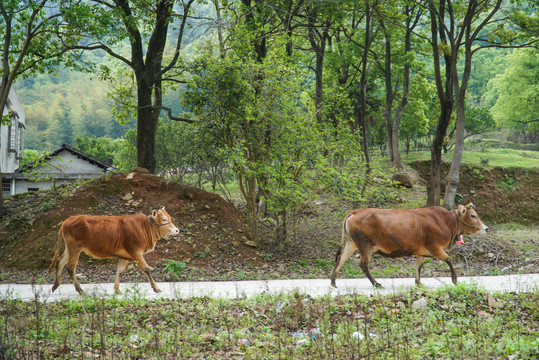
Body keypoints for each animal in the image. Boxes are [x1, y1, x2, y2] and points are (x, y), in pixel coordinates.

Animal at [49, 207, 179, 294]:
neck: (144, 227)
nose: (177, 230)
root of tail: (66, 221)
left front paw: (117, 290)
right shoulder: (136, 252)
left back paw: (56, 285)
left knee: (60, 261)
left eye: (170, 218)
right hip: (75, 248)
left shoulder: (125, 255)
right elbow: (146, 269)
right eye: (163, 219)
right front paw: (156, 288)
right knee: (70, 267)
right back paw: (80, 290)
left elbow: (119, 271)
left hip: (70, 248)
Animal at [332, 204, 492, 288]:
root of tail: (355, 211)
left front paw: (418, 282)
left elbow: (419, 266)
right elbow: (448, 260)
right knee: (363, 264)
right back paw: (376, 284)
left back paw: (333, 282)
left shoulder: (421, 250)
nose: (486, 228)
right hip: (365, 245)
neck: (447, 222)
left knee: (340, 259)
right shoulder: (435, 247)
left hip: (352, 243)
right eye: (473, 215)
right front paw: (454, 279)